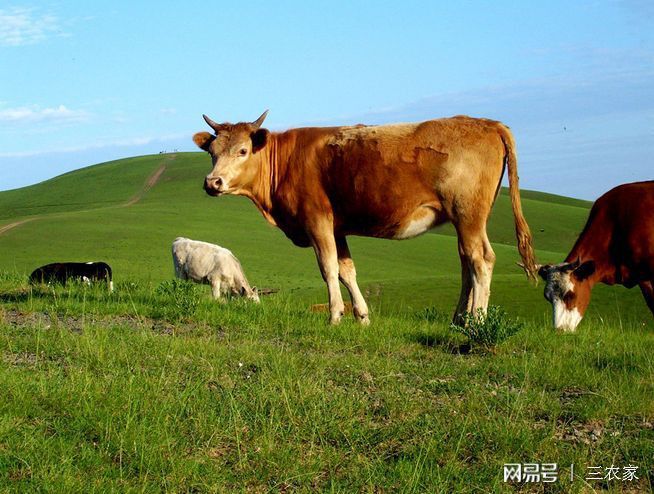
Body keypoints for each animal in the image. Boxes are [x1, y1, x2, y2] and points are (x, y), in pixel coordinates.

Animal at [191, 111, 540, 324]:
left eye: (242, 151)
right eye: (212, 153)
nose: (212, 183)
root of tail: (487, 122)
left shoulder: (317, 220)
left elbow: (328, 269)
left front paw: (335, 316)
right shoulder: (337, 227)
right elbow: (347, 270)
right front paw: (361, 316)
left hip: (468, 213)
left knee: (481, 260)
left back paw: (476, 321)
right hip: (462, 219)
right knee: (466, 262)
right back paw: (459, 319)